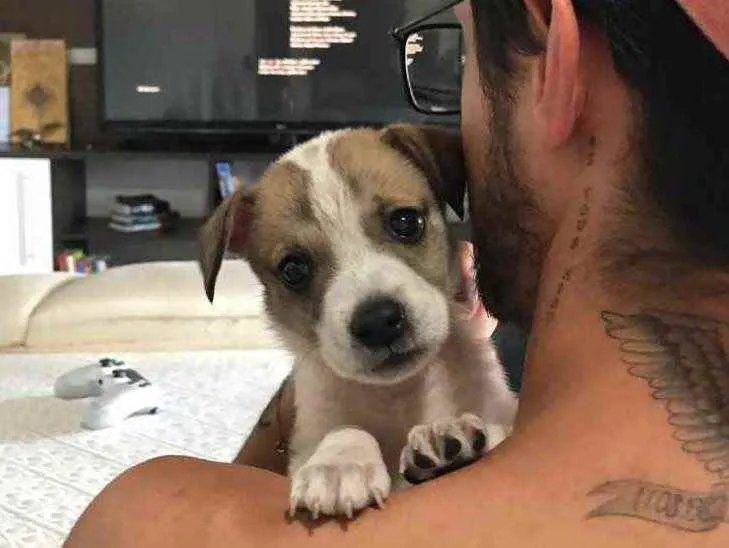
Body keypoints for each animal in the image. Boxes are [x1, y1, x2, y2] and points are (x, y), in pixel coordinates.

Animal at [198, 123, 518, 519]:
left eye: (405, 221)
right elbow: (347, 428)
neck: (399, 394)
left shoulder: (502, 407)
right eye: (293, 269)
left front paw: (446, 432)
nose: (379, 322)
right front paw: (338, 465)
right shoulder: (310, 435)